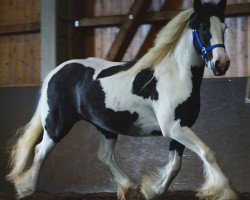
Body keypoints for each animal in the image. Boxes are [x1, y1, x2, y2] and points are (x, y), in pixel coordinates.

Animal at [6, 0, 237, 200]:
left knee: (104, 156)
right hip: (58, 124)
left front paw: (151, 190)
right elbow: (207, 152)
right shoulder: (173, 127)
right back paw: (26, 189)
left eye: (224, 26)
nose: (221, 64)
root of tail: (56, 71)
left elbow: (175, 166)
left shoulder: (181, 127)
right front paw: (224, 191)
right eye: (202, 26)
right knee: (40, 150)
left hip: (106, 127)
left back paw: (129, 187)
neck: (176, 75)